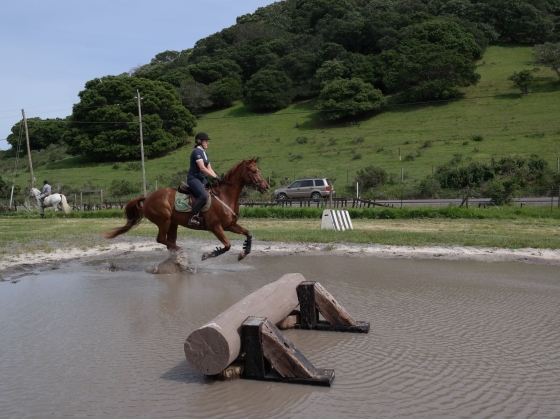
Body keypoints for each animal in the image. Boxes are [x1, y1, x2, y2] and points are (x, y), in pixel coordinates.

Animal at [106, 159, 272, 260]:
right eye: (255, 171)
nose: (266, 187)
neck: (225, 195)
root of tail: (147, 197)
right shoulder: (216, 227)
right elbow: (227, 245)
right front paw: (208, 255)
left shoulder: (230, 225)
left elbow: (248, 234)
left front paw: (243, 253)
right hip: (164, 221)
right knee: (161, 239)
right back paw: (181, 251)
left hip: (173, 223)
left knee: (168, 242)